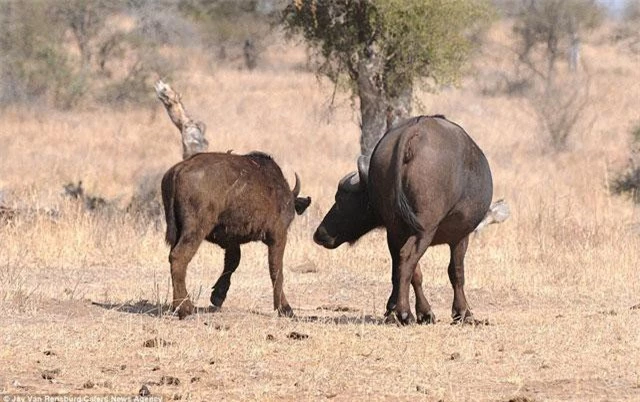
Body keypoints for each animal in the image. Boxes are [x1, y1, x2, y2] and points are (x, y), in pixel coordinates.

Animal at [160, 152, 310, 318]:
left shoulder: (231, 240)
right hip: (195, 231)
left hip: (178, 232)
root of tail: (179, 169)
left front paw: (217, 296)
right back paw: (185, 308)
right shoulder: (278, 236)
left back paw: (178, 306)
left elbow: (232, 262)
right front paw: (285, 308)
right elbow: (276, 271)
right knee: (179, 258)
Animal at [316, 114, 496, 326]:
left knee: (402, 263)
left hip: (397, 229)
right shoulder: (460, 236)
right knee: (409, 258)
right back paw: (404, 312)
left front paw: (400, 309)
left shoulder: (397, 233)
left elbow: (406, 272)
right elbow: (456, 272)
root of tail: (413, 133)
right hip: (425, 229)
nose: (320, 234)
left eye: (341, 199)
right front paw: (463, 312)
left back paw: (401, 311)